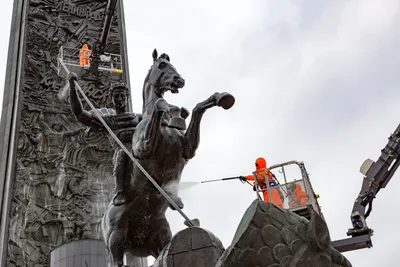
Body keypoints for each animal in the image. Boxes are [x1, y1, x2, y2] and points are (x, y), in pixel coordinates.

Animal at [101, 49, 236, 266]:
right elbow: (158, 104)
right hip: (116, 240)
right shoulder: (143, 148)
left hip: (160, 239)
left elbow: (198, 108)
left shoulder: (188, 149)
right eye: (162, 65)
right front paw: (169, 108)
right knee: (116, 261)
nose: (179, 80)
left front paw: (220, 97)